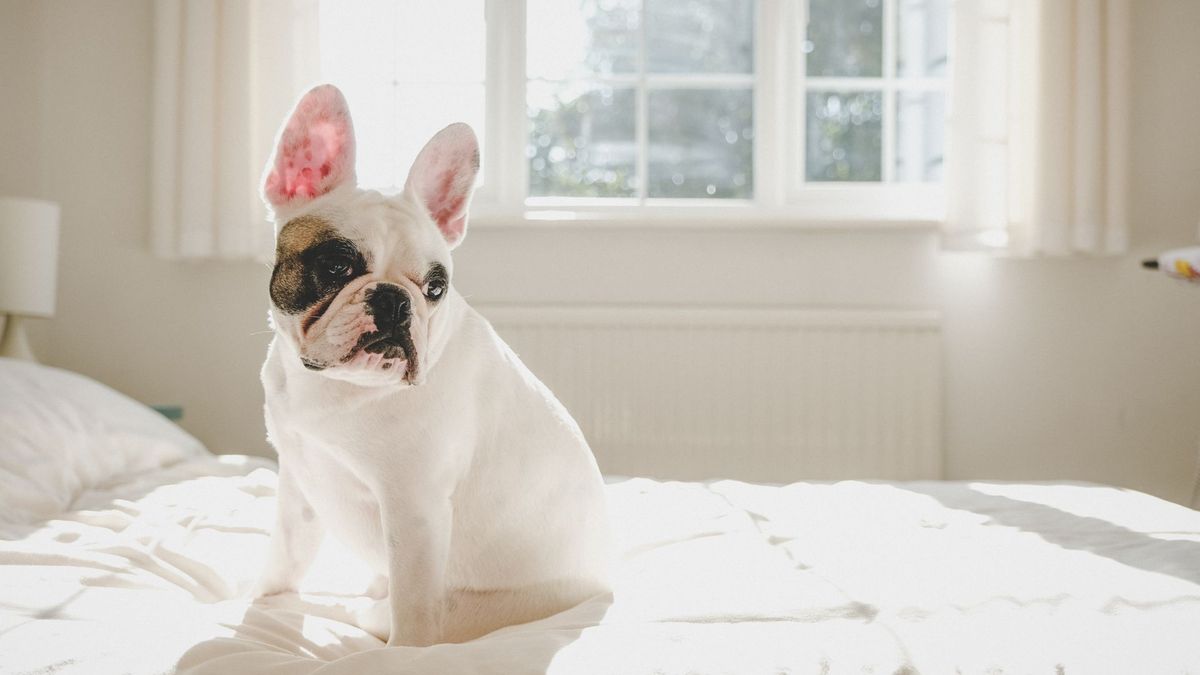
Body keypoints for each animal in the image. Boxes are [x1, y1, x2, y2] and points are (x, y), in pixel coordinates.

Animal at [252, 85, 609, 648]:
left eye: (435, 288)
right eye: (335, 265)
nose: (396, 301)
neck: (340, 387)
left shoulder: (413, 512)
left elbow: (413, 610)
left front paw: (401, 657)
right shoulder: (301, 484)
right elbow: (285, 558)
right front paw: (259, 603)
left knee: (391, 611)